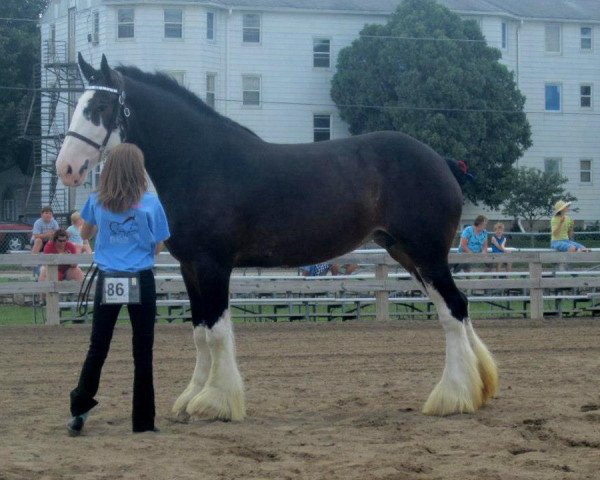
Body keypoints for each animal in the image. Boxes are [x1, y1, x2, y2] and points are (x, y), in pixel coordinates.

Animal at [55, 55, 496, 420]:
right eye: (77, 105)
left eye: (99, 108)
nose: (67, 168)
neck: (202, 163)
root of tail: (441, 161)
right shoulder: (189, 268)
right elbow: (199, 332)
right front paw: (191, 398)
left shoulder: (213, 265)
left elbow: (217, 331)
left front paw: (215, 403)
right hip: (407, 253)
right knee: (456, 308)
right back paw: (477, 388)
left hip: (427, 255)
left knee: (453, 311)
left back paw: (452, 397)